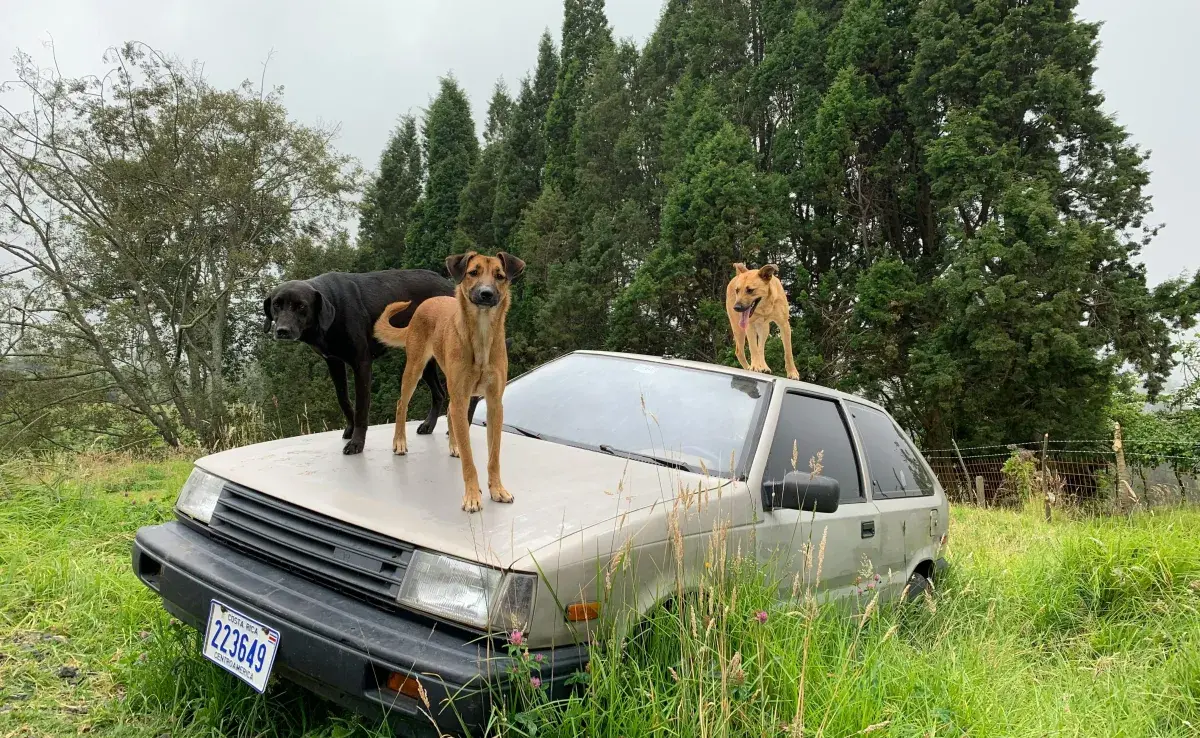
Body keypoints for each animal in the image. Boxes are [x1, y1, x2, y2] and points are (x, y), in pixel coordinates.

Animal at [265, 271, 475, 456]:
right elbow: (343, 399)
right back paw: (428, 425)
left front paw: (357, 442)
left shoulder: (362, 364)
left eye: (301, 306)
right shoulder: (334, 363)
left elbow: (361, 407)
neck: (333, 309)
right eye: (276, 304)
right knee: (439, 393)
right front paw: (350, 429)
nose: (282, 330)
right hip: (423, 361)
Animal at [374, 250, 525, 511]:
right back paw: (400, 442)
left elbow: (493, 456)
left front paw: (497, 489)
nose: (486, 294)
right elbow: (469, 460)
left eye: (500, 275)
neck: (481, 337)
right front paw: (472, 496)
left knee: (450, 411)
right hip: (415, 368)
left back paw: (454, 445)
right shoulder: (463, 394)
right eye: (473, 272)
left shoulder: (494, 403)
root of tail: (427, 302)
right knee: (402, 404)